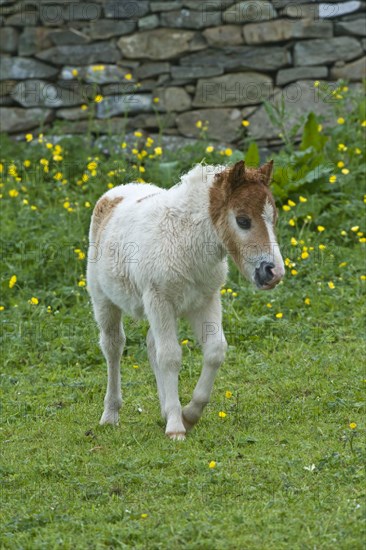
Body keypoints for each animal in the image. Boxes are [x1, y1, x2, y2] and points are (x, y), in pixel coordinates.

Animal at [87, 162, 284, 442]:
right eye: (243, 220)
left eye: (274, 219)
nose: (274, 273)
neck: (186, 241)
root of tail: (114, 193)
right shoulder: (159, 300)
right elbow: (170, 356)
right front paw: (176, 427)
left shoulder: (207, 300)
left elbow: (215, 350)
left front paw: (188, 415)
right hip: (104, 300)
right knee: (113, 346)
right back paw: (111, 413)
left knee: (151, 344)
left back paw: (165, 410)